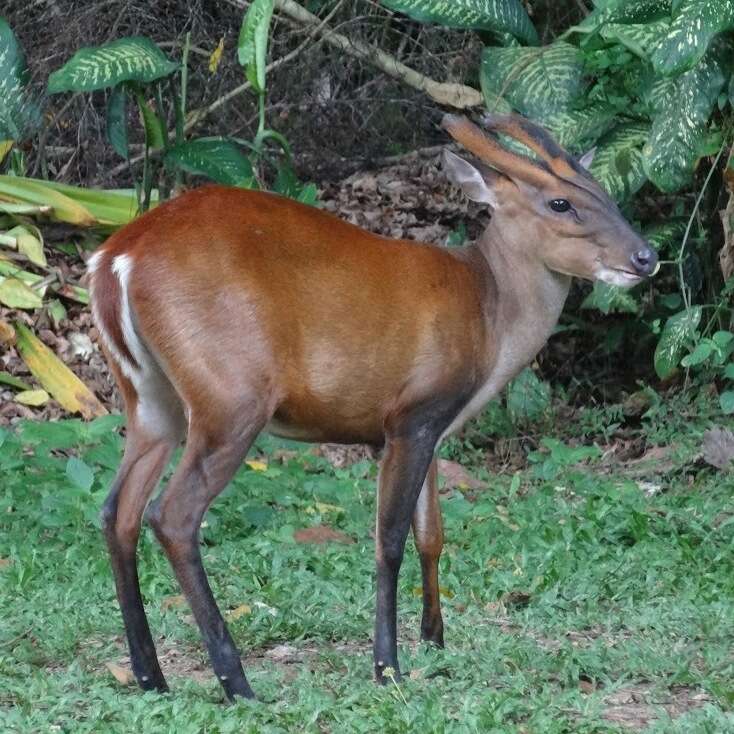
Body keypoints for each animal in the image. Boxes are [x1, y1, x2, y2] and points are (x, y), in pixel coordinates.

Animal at [89, 115, 660, 700]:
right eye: (560, 203)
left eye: (605, 192)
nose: (646, 257)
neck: (489, 312)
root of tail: (115, 261)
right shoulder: (410, 416)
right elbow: (390, 540)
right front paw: (388, 667)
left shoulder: (432, 425)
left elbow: (432, 533)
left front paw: (434, 642)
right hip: (230, 396)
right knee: (173, 515)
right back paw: (236, 682)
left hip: (150, 400)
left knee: (117, 511)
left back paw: (150, 676)